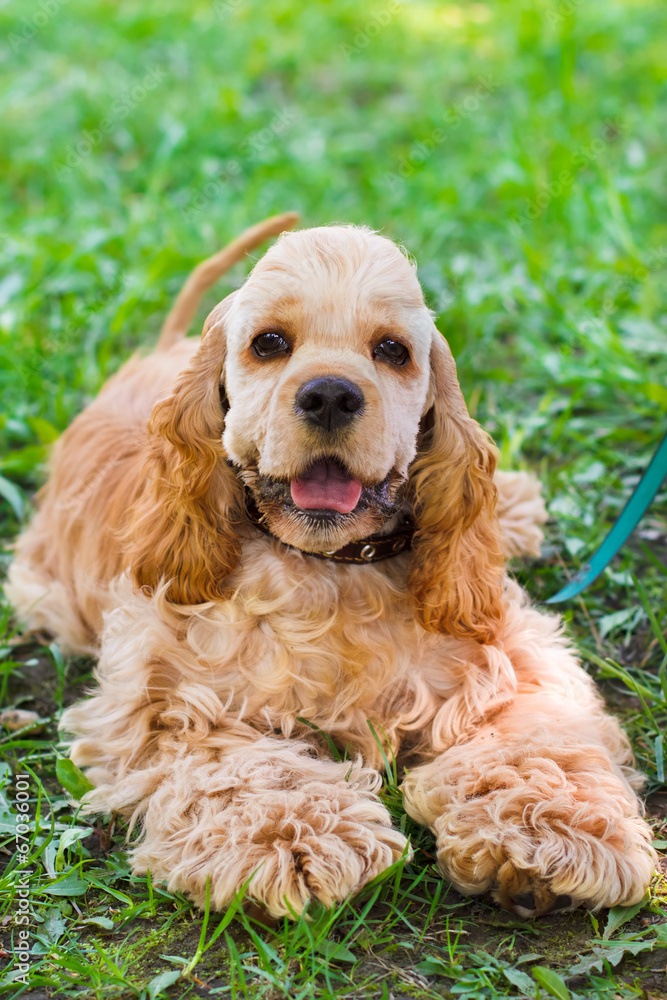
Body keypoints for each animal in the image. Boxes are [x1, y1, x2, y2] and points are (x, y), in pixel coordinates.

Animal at [7, 215, 656, 916]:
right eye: (269, 343)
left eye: (393, 350)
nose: (329, 395)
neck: (336, 568)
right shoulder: (163, 699)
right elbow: (241, 764)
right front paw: (296, 839)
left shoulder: (514, 656)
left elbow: (536, 737)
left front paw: (553, 831)